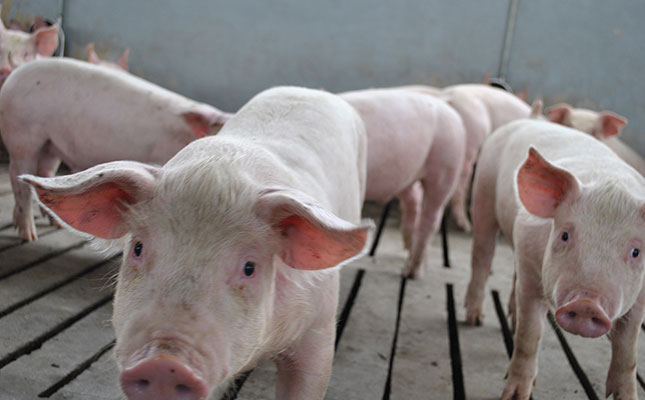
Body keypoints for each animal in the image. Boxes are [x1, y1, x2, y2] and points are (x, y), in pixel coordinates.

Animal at [0, 57, 233, 241]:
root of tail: (14, 76)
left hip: (51, 144)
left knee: (45, 172)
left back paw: (54, 223)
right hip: (23, 134)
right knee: (18, 178)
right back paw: (29, 236)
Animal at [340, 88, 466, 279]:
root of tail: (445, 105)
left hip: (446, 164)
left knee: (431, 218)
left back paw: (411, 273)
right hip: (409, 174)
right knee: (413, 202)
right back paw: (408, 251)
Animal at [464, 119, 645, 400]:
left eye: (636, 251)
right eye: (565, 235)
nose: (586, 304)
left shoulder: (640, 302)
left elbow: (628, 351)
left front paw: (627, 396)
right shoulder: (530, 277)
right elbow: (529, 335)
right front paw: (514, 395)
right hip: (482, 193)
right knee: (482, 257)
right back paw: (474, 319)